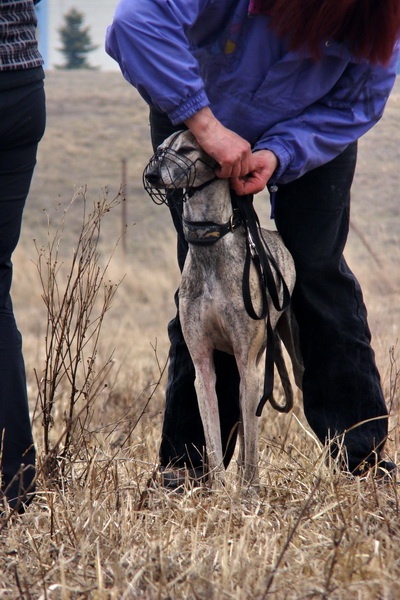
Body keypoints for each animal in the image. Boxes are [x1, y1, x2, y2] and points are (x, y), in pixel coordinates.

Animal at [145, 129, 304, 490]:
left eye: (187, 149)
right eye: (161, 148)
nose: (152, 175)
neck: (210, 246)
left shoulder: (247, 363)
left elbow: (252, 445)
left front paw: (250, 493)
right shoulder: (203, 367)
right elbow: (214, 440)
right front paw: (219, 491)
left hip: (281, 358)